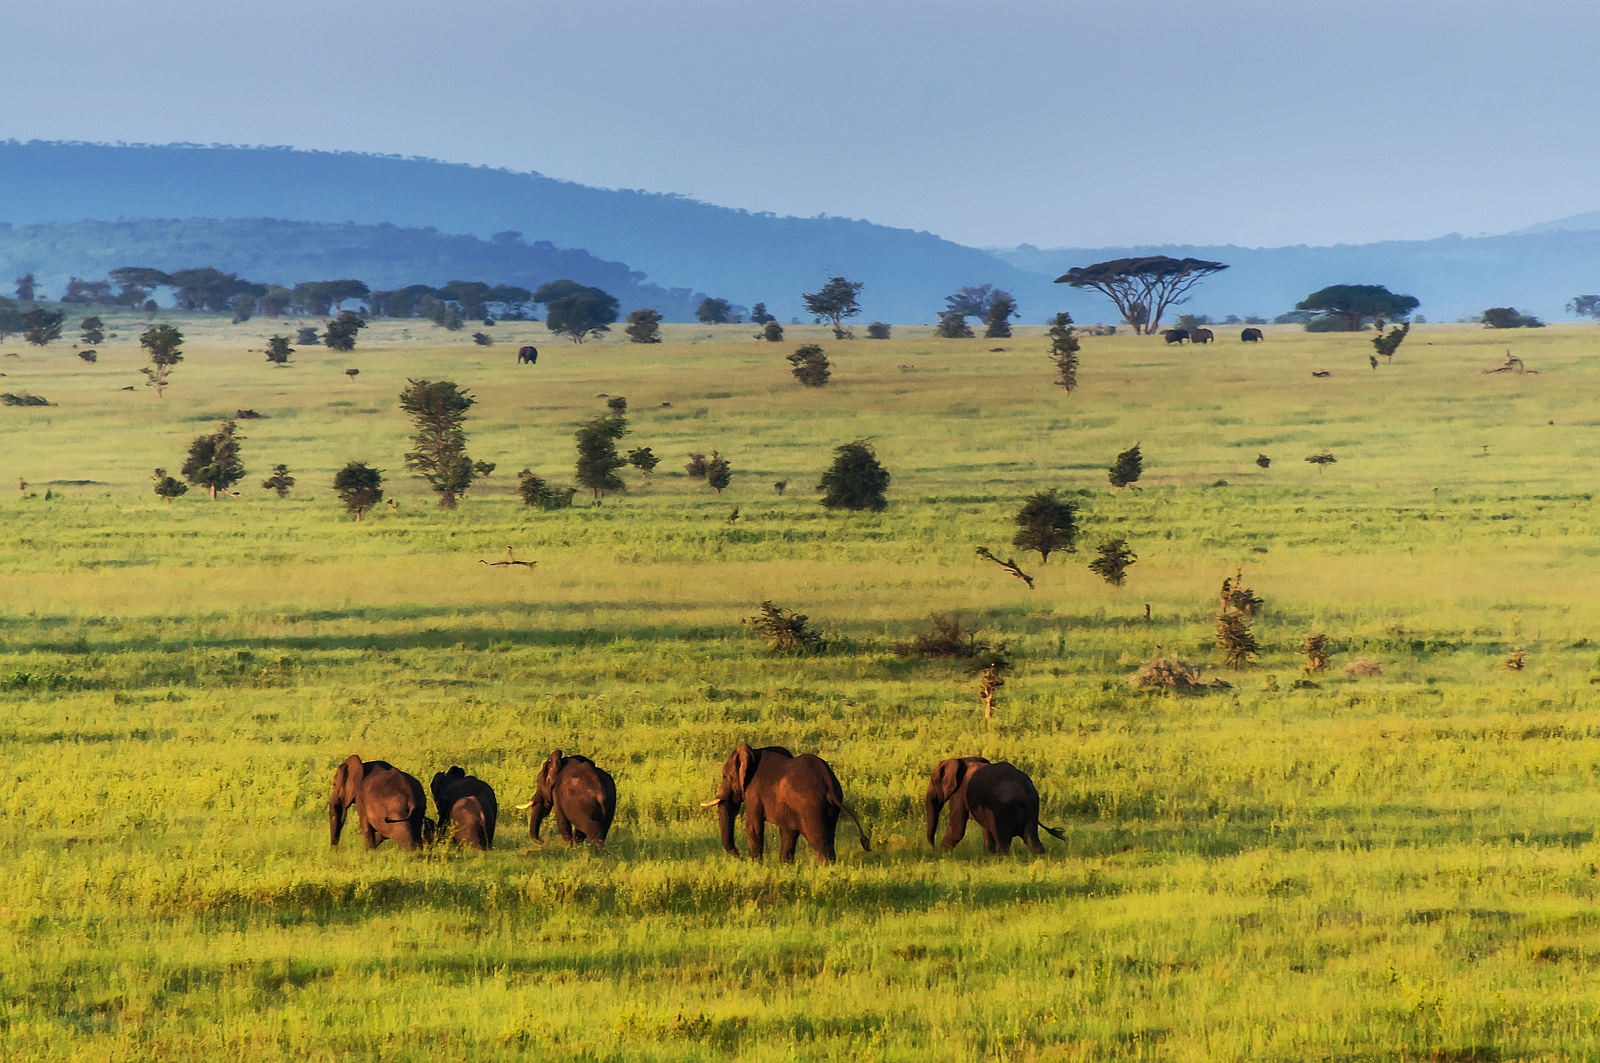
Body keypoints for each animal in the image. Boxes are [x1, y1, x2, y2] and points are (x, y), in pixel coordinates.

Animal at [704, 739, 870, 864]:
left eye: (725, 776)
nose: (741, 858)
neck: (753, 753)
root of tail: (829, 786)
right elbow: (788, 831)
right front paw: (785, 866)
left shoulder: (754, 792)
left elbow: (753, 827)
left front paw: (756, 865)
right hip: (832, 807)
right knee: (829, 835)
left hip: (810, 806)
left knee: (818, 839)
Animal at [921, 755, 1068, 858]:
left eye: (932, 780)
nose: (933, 849)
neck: (960, 760)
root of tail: (1024, 792)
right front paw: (987, 857)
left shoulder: (960, 793)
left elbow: (957, 828)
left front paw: (944, 856)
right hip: (1032, 808)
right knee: (1031, 838)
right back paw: (1040, 857)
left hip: (1003, 809)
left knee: (1003, 840)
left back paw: (1002, 860)